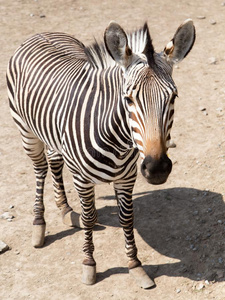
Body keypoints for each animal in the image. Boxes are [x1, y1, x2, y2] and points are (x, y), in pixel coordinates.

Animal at [7, 19, 195, 288]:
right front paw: (89, 265)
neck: (118, 141)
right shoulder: (82, 179)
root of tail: (41, 33)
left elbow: (127, 218)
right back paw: (38, 225)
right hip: (27, 132)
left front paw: (134, 265)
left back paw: (65, 209)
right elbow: (90, 217)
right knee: (40, 169)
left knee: (54, 161)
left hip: (52, 133)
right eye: (128, 99)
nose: (157, 168)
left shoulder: (127, 178)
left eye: (173, 97)